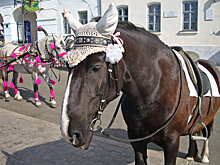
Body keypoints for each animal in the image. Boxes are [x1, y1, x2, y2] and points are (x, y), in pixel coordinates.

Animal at [60, 3, 220, 164]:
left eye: (96, 67)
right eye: (68, 65)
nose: (69, 132)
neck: (154, 91)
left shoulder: (172, 143)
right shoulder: (136, 141)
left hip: (210, 118)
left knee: (207, 131)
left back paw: (204, 155)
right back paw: (191, 153)